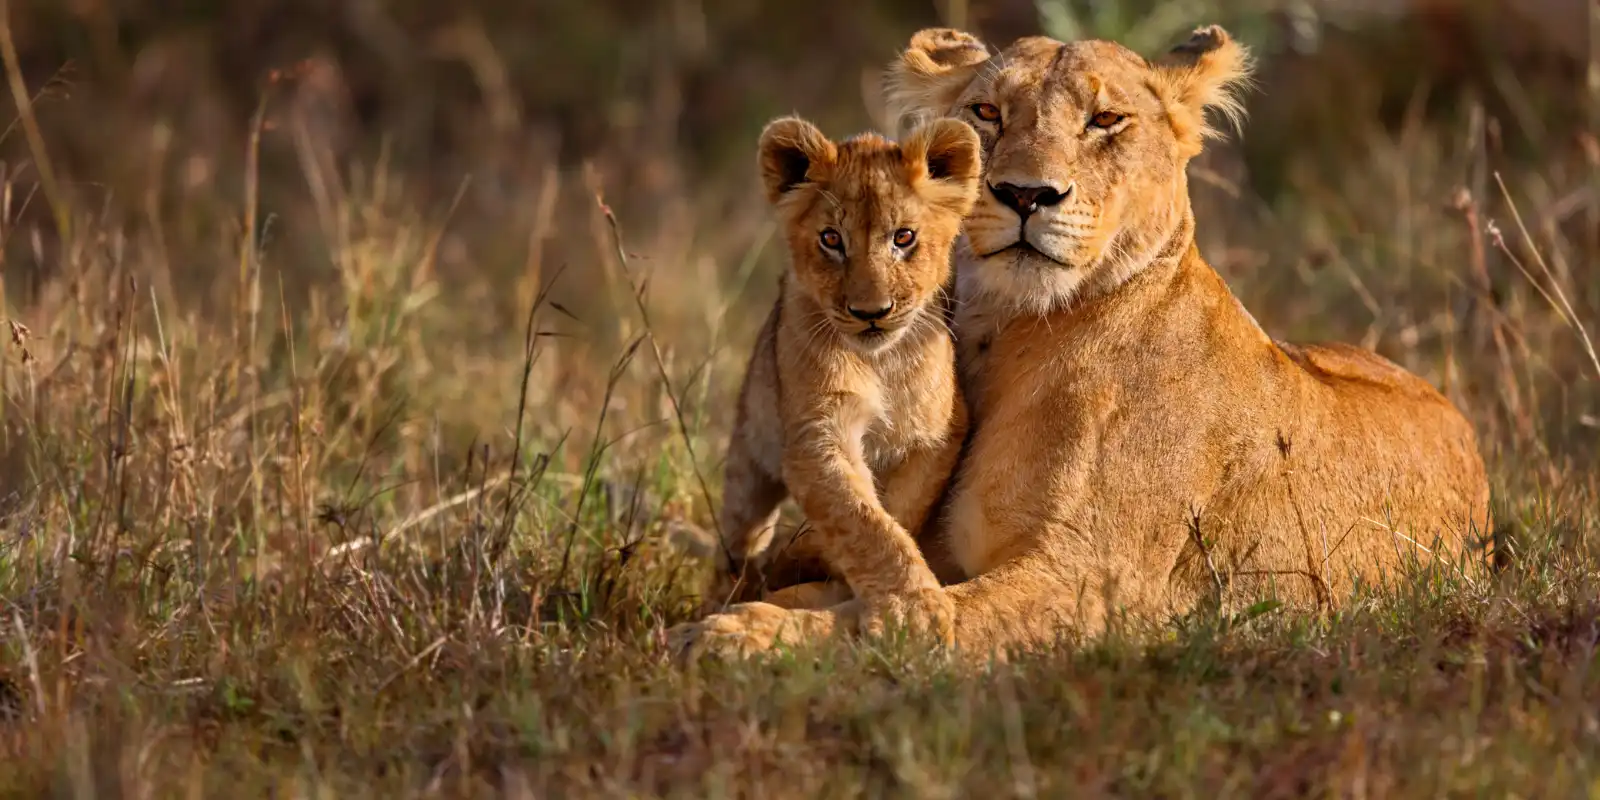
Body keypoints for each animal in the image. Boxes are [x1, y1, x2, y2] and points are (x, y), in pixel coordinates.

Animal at [666, 115, 983, 655]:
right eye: (832, 239)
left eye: (904, 237)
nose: (871, 312)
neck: (881, 362)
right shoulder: (816, 434)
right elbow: (862, 520)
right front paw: (913, 611)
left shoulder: (938, 435)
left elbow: (896, 511)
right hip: (750, 460)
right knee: (739, 541)